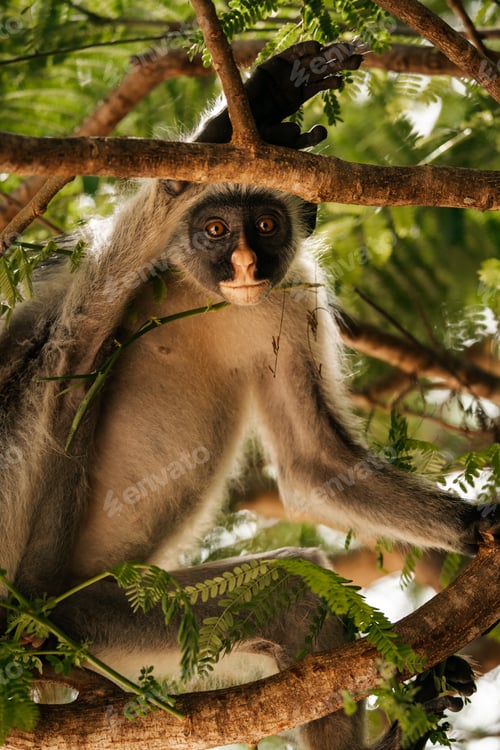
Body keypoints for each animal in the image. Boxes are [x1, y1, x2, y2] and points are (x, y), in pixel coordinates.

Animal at [0, 41, 498, 749]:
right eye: (214, 229)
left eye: (263, 224)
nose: (240, 263)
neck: (204, 294)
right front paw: (237, 120)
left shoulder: (292, 298)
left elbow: (318, 464)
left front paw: (479, 524)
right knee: (72, 353)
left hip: (112, 623)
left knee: (293, 597)